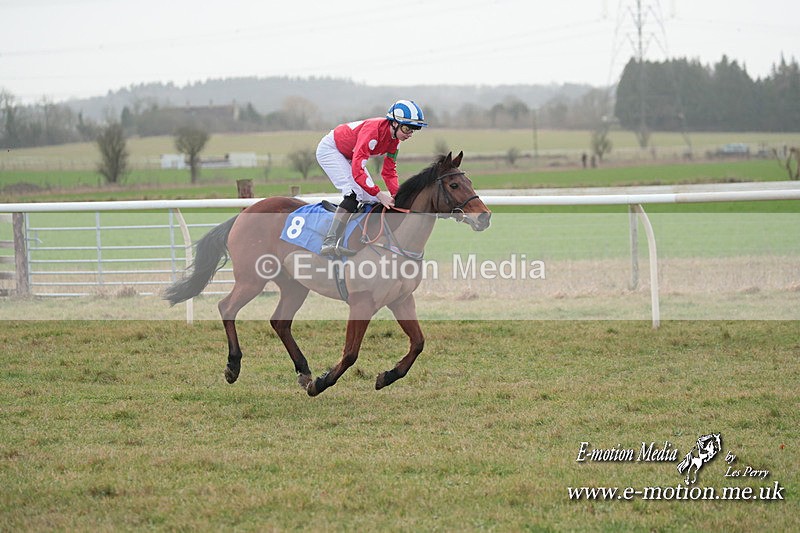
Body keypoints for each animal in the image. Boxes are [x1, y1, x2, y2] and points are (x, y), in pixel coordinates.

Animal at [165, 152, 491, 396]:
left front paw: (385, 376)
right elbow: (350, 352)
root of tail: (244, 213)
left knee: (279, 321)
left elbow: (418, 343)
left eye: (469, 181)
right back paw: (234, 367)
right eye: (454, 186)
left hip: (294, 285)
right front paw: (322, 383)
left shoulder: (401, 300)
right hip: (252, 278)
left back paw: (303, 371)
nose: (485, 217)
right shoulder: (361, 303)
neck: (394, 240)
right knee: (227, 307)